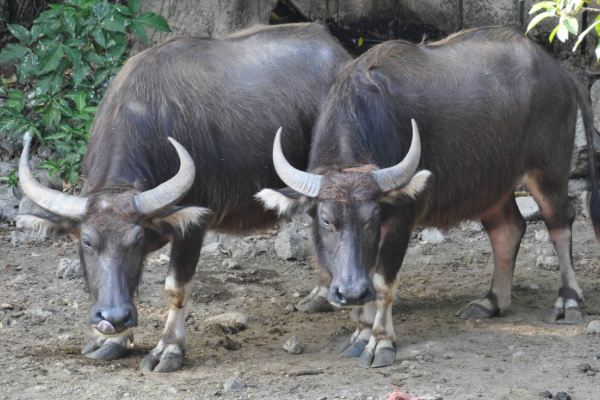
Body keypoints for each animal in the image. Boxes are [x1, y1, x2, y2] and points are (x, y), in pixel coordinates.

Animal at [16, 22, 352, 372]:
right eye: (86, 242)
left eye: (137, 240)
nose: (114, 317)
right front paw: (114, 341)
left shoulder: (193, 226)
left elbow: (174, 289)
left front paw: (169, 349)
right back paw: (320, 295)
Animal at [258, 25, 600, 368]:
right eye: (327, 220)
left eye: (373, 218)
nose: (351, 293)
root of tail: (561, 75)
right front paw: (361, 333)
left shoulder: (400, 219)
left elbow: (382, 282)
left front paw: (380, 341)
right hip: (492, 183)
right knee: (508, 229)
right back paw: (492, 302)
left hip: (548, 169)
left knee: (559, 223)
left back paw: (568, 301)